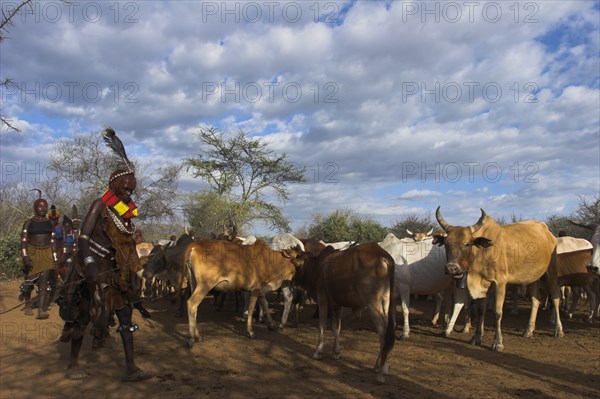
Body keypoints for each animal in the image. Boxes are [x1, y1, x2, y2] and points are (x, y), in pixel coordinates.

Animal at [292, 244, 396, 384]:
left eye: (297, 267)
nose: (292, 281)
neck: (318, 267)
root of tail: (381, 253)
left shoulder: (323, 300)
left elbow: (322, 325)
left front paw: (318, 351)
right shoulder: (337, 305)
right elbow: (336, 328)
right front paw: (336, 353)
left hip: (372, 302)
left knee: (383, 333)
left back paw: (381, 372)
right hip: (385, 301)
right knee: (387, 331)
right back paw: (382, 366)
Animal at [434, 208, 564, 352]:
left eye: (467, 243)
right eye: (446, 244)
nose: (452, 268)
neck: (482, 252)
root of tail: (549, 234)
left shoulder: (500, 283)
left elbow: (497, 312)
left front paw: (498, 343)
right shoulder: (484, 285)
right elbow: (481, 310)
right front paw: (476, 337)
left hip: (551, 273)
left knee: (556, 299)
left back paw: (558, 330)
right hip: (532, 278)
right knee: (535, 300)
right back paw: (528, 330)